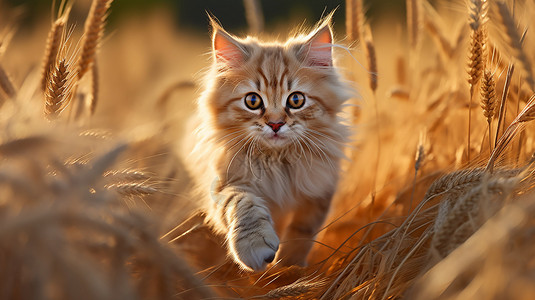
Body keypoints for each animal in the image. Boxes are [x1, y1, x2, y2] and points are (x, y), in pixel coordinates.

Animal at [186, 14, 354, 272]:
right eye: (253, 101)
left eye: (296, 100)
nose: (275, 124)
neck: (278, 162)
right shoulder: (224, 184)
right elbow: (243, 205)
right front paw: (256, 247)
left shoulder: (319, 189)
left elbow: (302, 231)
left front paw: (290, 266)